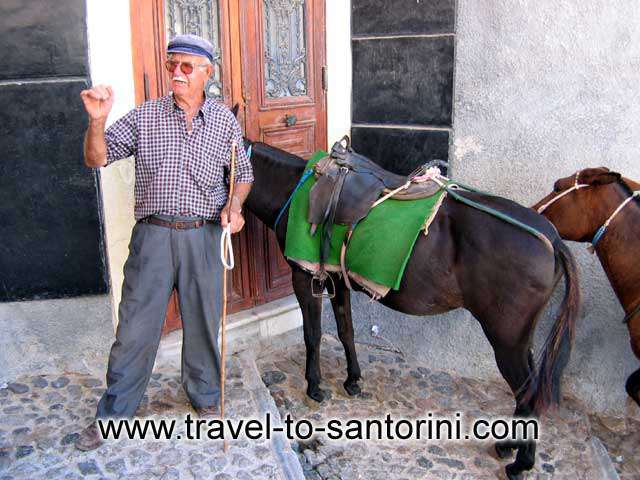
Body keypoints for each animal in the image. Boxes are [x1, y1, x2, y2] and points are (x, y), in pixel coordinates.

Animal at [242, 141, 584, 478]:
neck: (295, 189)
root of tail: (552, 240)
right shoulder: (338, 279)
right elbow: (345, 331)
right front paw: (352, 380)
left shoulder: (305, 276)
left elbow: (312, 335)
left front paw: (314, 386)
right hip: (520, 338)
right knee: (530, 388)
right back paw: (509, 446)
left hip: (506, 339)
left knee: (527, 392)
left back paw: (520, 463)